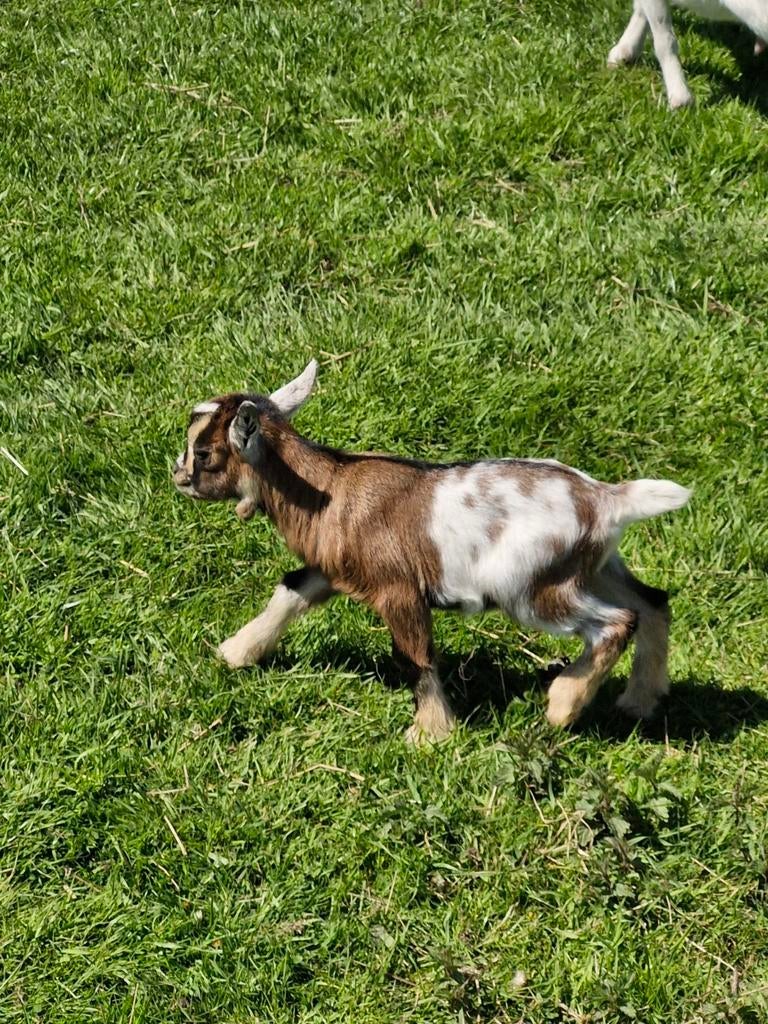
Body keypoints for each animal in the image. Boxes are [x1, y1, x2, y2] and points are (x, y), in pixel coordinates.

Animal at [172, 360, 691, 743]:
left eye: (204, 454)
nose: (177, 475)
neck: (330, 490)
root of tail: (608, 501)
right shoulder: (334, 569)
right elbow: (290, 591)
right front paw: (234, 653)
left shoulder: (398, 589)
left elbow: (416, 656)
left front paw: (430, 735)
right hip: (598, 567)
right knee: (653, 602)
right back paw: (640, 701)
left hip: (534, 589)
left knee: (617, 621)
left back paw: (563, 706)